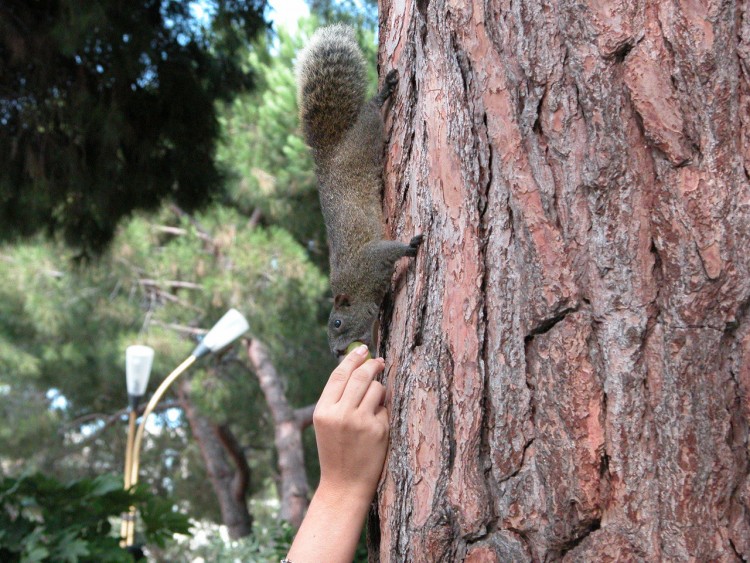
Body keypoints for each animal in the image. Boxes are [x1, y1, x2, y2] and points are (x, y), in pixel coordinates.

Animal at [296, 25, 424, 356]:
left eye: (338, 323)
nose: (336, 353)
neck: (357, 290)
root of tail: (327, 155)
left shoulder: (369, 260)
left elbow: (389, 250)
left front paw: (411, 247)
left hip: (366, 136)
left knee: (370, 111)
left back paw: (383, 93)